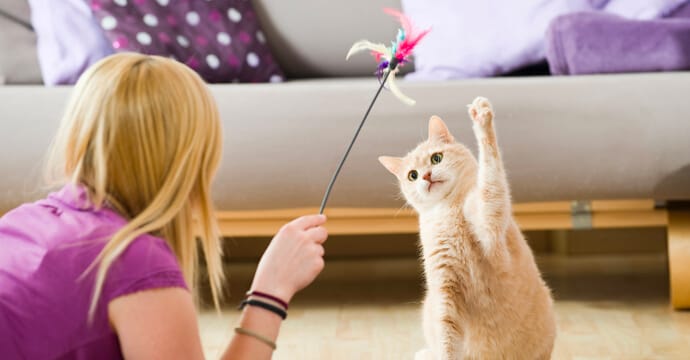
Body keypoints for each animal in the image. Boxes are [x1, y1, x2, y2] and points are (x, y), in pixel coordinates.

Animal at [378, 97, 556, 358]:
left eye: (436, 158)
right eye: (412, 175)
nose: (426, 176)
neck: (448, 210)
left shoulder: (489, 218)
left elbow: (490, 172)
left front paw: (482, 119)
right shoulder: (445, 292)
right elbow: (446, 340)